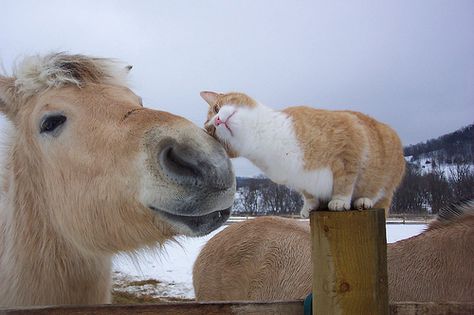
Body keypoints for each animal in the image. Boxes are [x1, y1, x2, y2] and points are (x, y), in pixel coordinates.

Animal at [202, 91, 406, 217]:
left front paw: (339, 201)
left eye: (217, 108)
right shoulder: (297, 179)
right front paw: (310, 206)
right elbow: (308, 193)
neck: (263, 139)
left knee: (381, 195)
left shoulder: (349, 142)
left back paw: (364, 200)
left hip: (388, 170)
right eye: (211, 130)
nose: (218, 120)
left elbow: (345, 180)